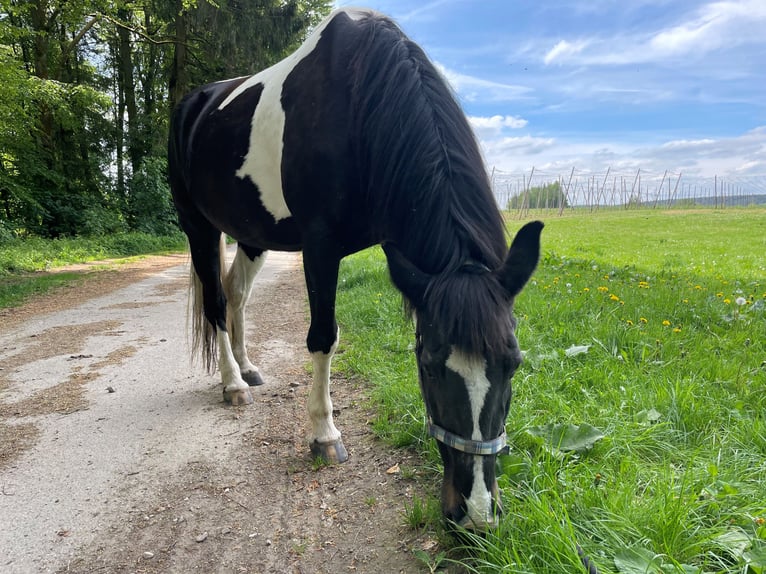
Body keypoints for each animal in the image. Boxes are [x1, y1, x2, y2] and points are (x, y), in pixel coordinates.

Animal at [168, 7, 544, 532]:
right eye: (428, 366)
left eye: (514, 363)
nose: (474, 514)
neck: (358, 105)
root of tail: (193, 104)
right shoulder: (319, 247)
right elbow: (323, 337)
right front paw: (324, 435)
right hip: (199, 227)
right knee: (218, 303)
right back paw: (232, 383)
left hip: (253, 236)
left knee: (236, 294)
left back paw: (247, 367)